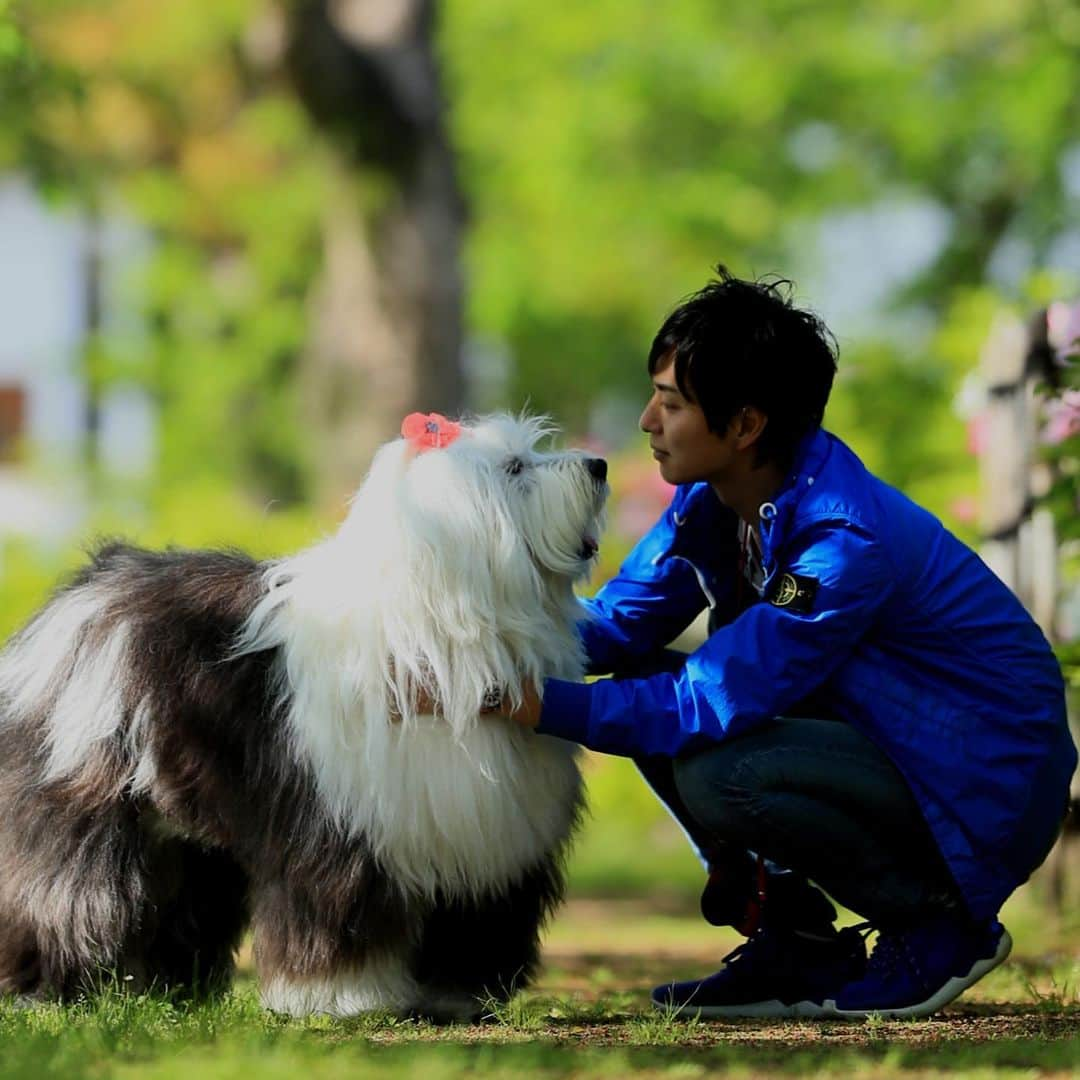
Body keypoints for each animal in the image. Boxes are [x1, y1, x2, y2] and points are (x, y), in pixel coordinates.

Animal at [0, 412, 609, 1019]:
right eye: (515, 469)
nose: (599, 465)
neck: (431, 626)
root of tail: (90, 586)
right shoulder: (340, 826)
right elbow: (337, 906)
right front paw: (340, 996)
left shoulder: (485, 842)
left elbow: (469, 926)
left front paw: (457, 996)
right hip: (88, 804)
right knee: (66, 896)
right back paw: (45, 987)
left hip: (183, 828)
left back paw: (166, 988)